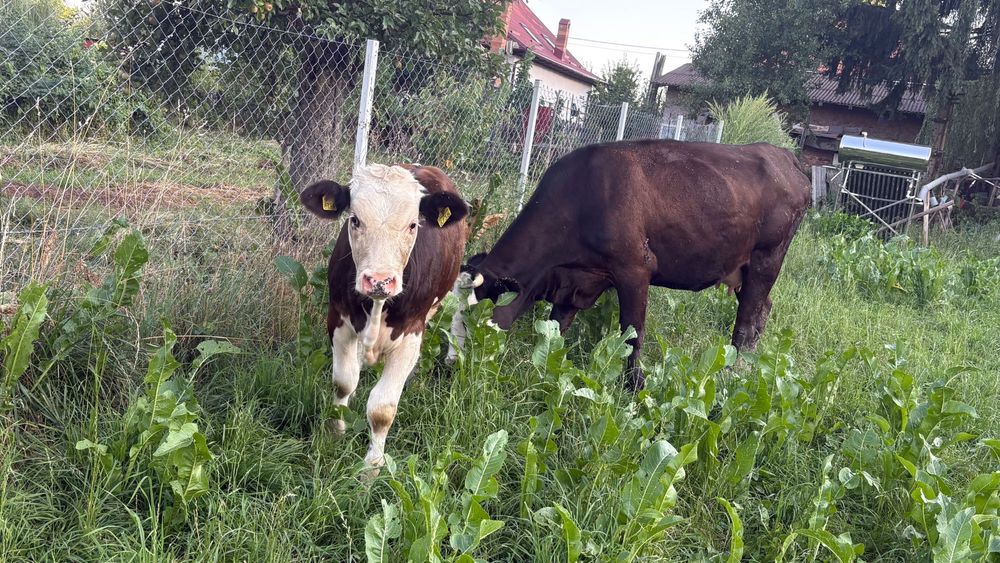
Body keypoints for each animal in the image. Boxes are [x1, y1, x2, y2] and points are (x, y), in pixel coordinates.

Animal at [300, 163, 469, 470]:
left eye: (413, 225)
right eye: (354, 220)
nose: (379, 281)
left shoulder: (411, 333)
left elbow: (382, 409)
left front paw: (371, 467)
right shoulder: (338, 319)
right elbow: (344, 381)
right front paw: (334, 432)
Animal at [460, 139, 810, 390]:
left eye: (476, 319)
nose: (454, 363)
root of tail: (783, 155)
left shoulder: (635, 269)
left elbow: (633, 334)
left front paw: (634, 386)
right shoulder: (577, 280)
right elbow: (557, 326)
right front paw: (548, 365)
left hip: (767, 258)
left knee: (747, 321)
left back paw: (734, 373)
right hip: (744, 269)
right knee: (762, 309)